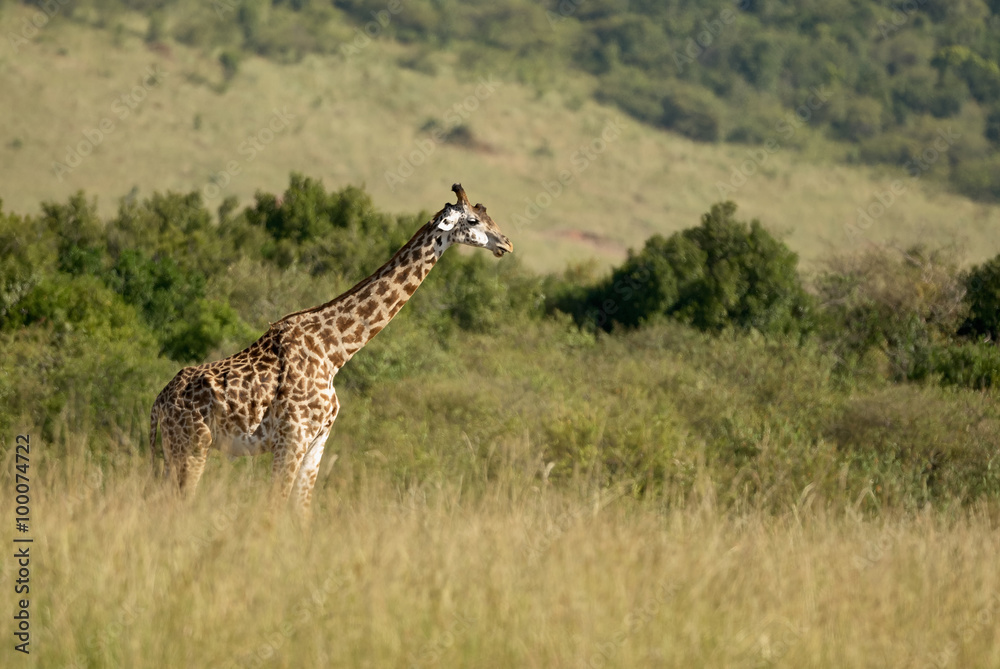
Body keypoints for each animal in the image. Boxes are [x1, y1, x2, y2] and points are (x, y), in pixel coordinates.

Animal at [149, 183, 512, 514]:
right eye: (473, 220)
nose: (506, 243)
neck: (334, 351)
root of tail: (157, 404)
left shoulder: (317, 441)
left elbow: (302, 511)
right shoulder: (291, 438)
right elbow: (274, 507)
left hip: (174, 451)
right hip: (191, 446)